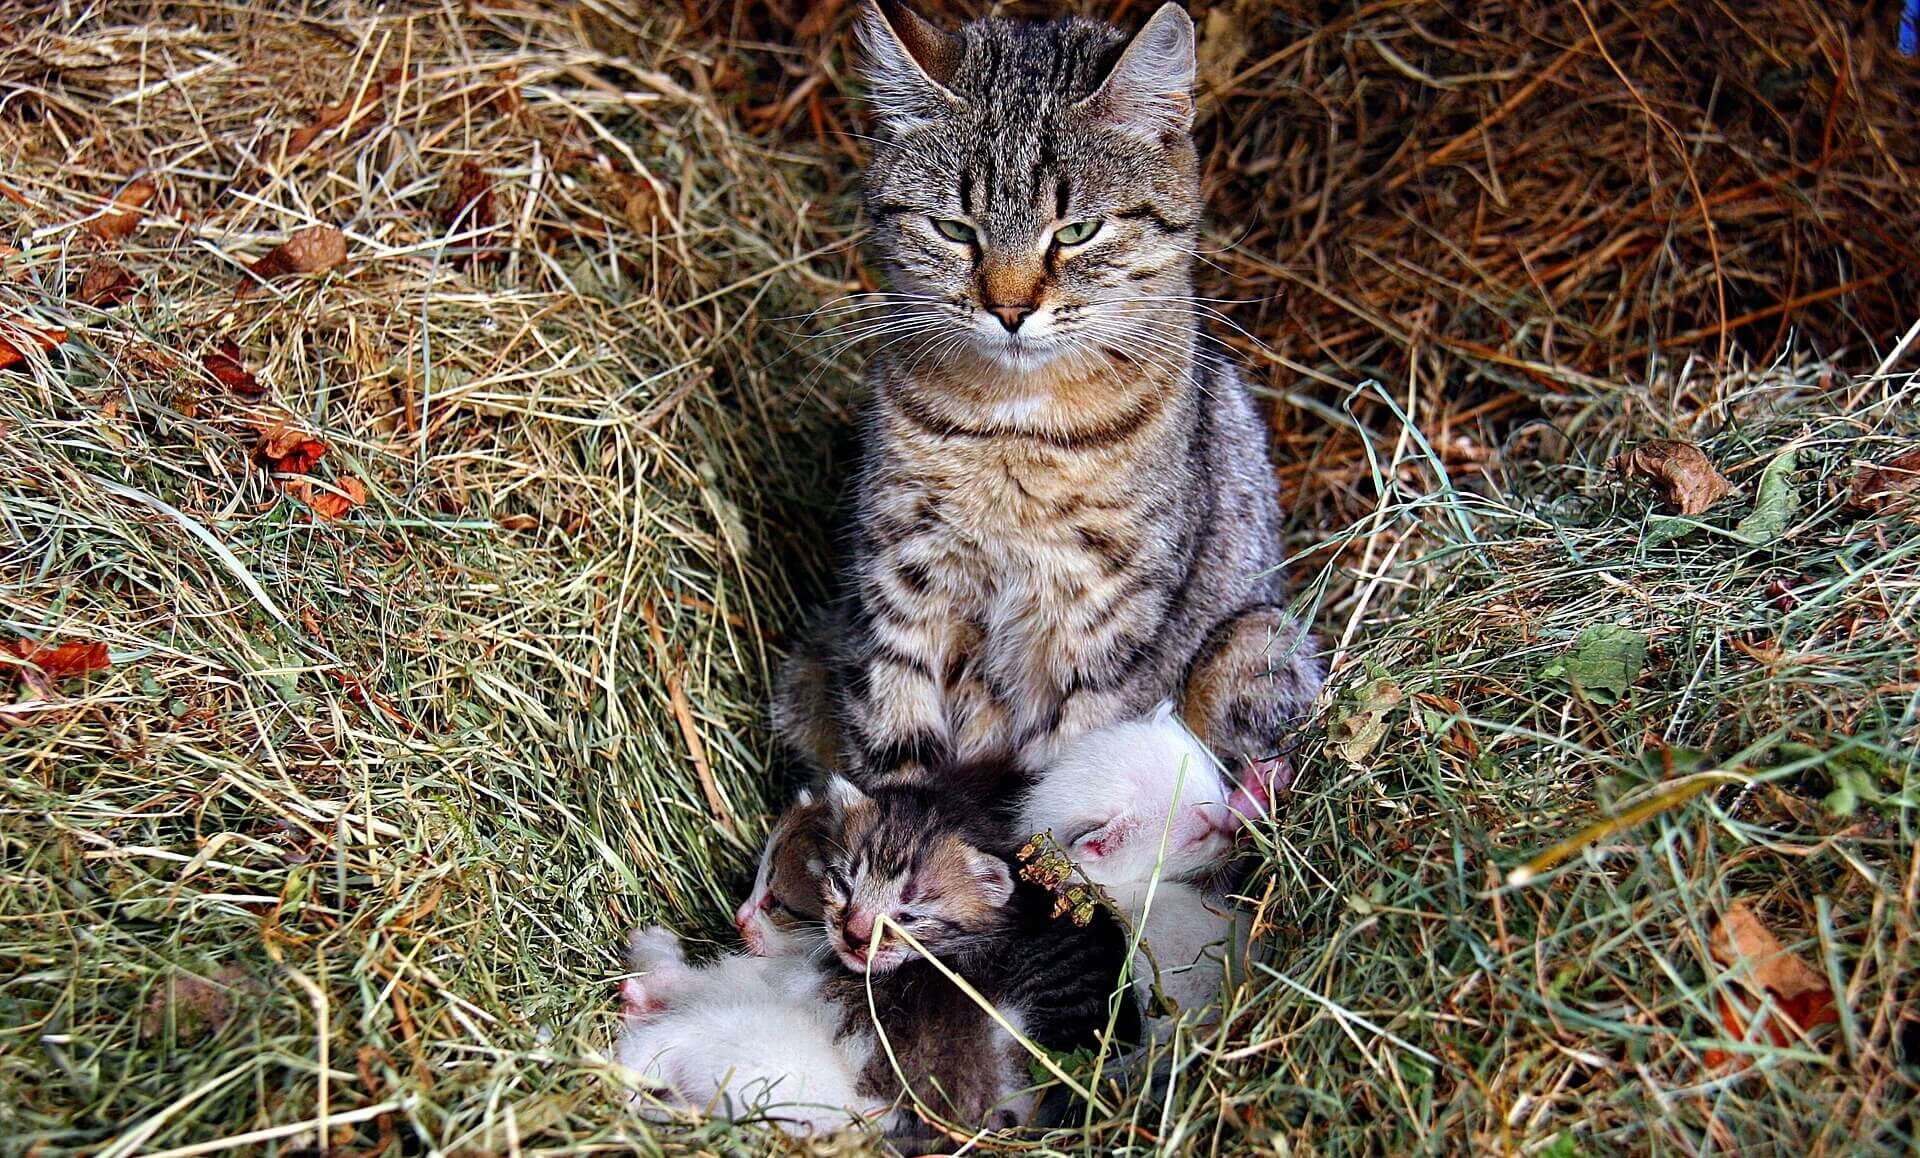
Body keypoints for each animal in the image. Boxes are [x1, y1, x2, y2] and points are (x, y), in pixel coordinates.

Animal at [775, 0, 1320, 787]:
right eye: (953, 229)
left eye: (1077, 231)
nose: (1009, 308)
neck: (1014, 428)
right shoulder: (901, 585)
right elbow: (894, 748)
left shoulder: (1103, 620)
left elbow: (1071, 757)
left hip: (1259, 640)